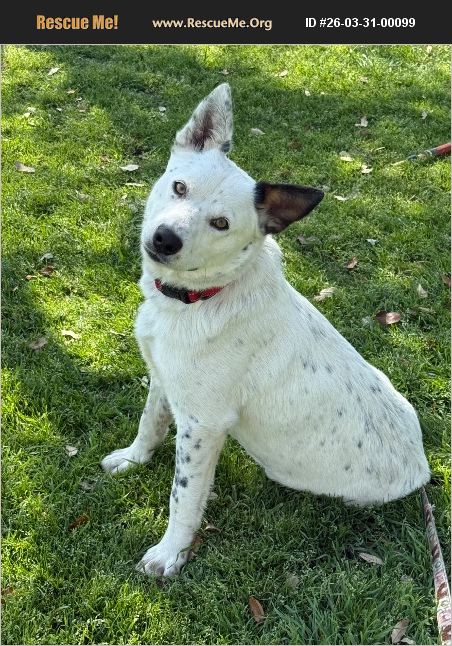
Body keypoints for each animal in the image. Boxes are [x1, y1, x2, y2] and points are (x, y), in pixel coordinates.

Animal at [101, 83, 430, 576]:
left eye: (221, 224)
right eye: (179, 187)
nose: (164, 238)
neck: (202, 297)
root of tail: (424, 471)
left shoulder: (202, 425)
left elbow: (183, 497)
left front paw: (170, 553)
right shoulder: (164, 381)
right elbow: (149, 424)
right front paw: (132, 459)